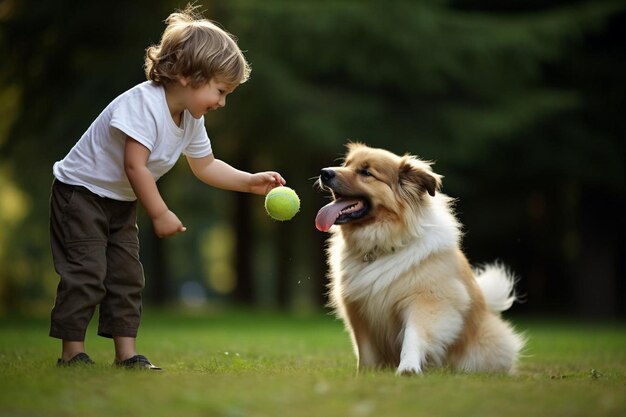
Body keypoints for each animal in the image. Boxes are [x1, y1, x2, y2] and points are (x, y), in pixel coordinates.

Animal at [314, 144, 524, 374]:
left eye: (366, 173)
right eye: (346, 164)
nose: (325, 172)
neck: (382, 244)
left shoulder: (426, 302)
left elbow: (413, 336)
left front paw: (408, 368)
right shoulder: (359, 314)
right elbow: (366, 353)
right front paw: (365, 374)